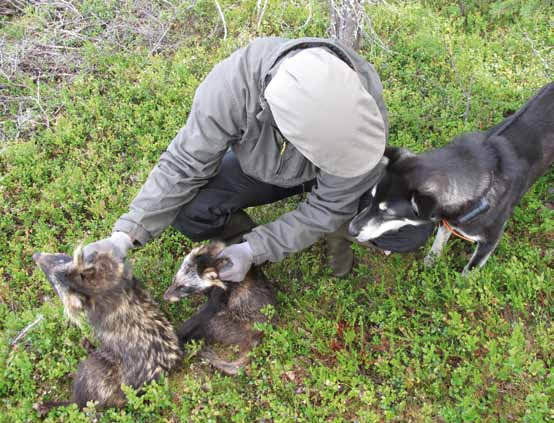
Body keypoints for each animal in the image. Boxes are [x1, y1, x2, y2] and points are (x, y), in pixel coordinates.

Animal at [350, 83, 552, 274]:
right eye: (372, 198)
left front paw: (462, 283)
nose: (350, 229)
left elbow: (469, 270)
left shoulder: (490, 240)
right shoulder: (447, 221)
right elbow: (439, 240)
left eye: (389, 213)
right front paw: (431, 260)